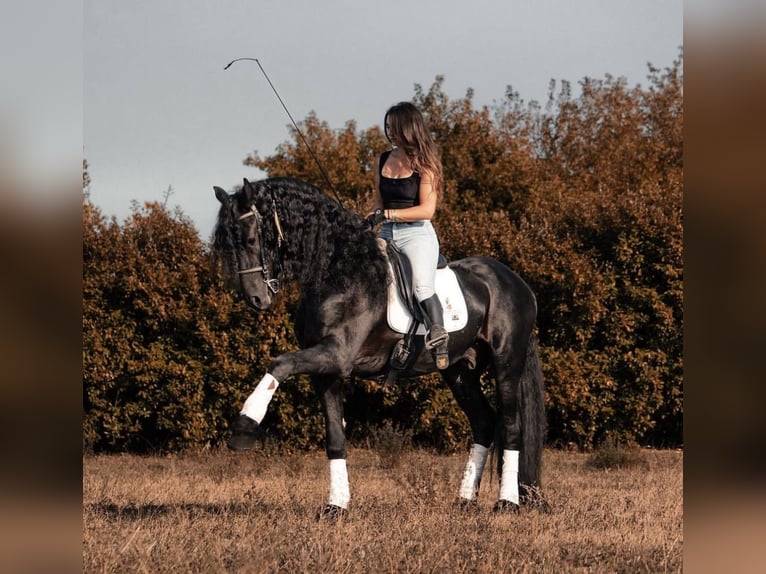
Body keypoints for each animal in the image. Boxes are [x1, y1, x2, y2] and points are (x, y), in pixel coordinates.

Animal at [212, 177, 546, 518]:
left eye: (250, 239)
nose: (255, 298)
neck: (339, 271)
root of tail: (516, 282)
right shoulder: (326, 370)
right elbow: (335, 437)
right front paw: (336, 507)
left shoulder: (337, 354)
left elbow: (279, 363)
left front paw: (243, 427)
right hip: (459, 371)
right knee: (483, 421)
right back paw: (465, 500)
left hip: (506, 362)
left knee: (511, 427)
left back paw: (507, 503)